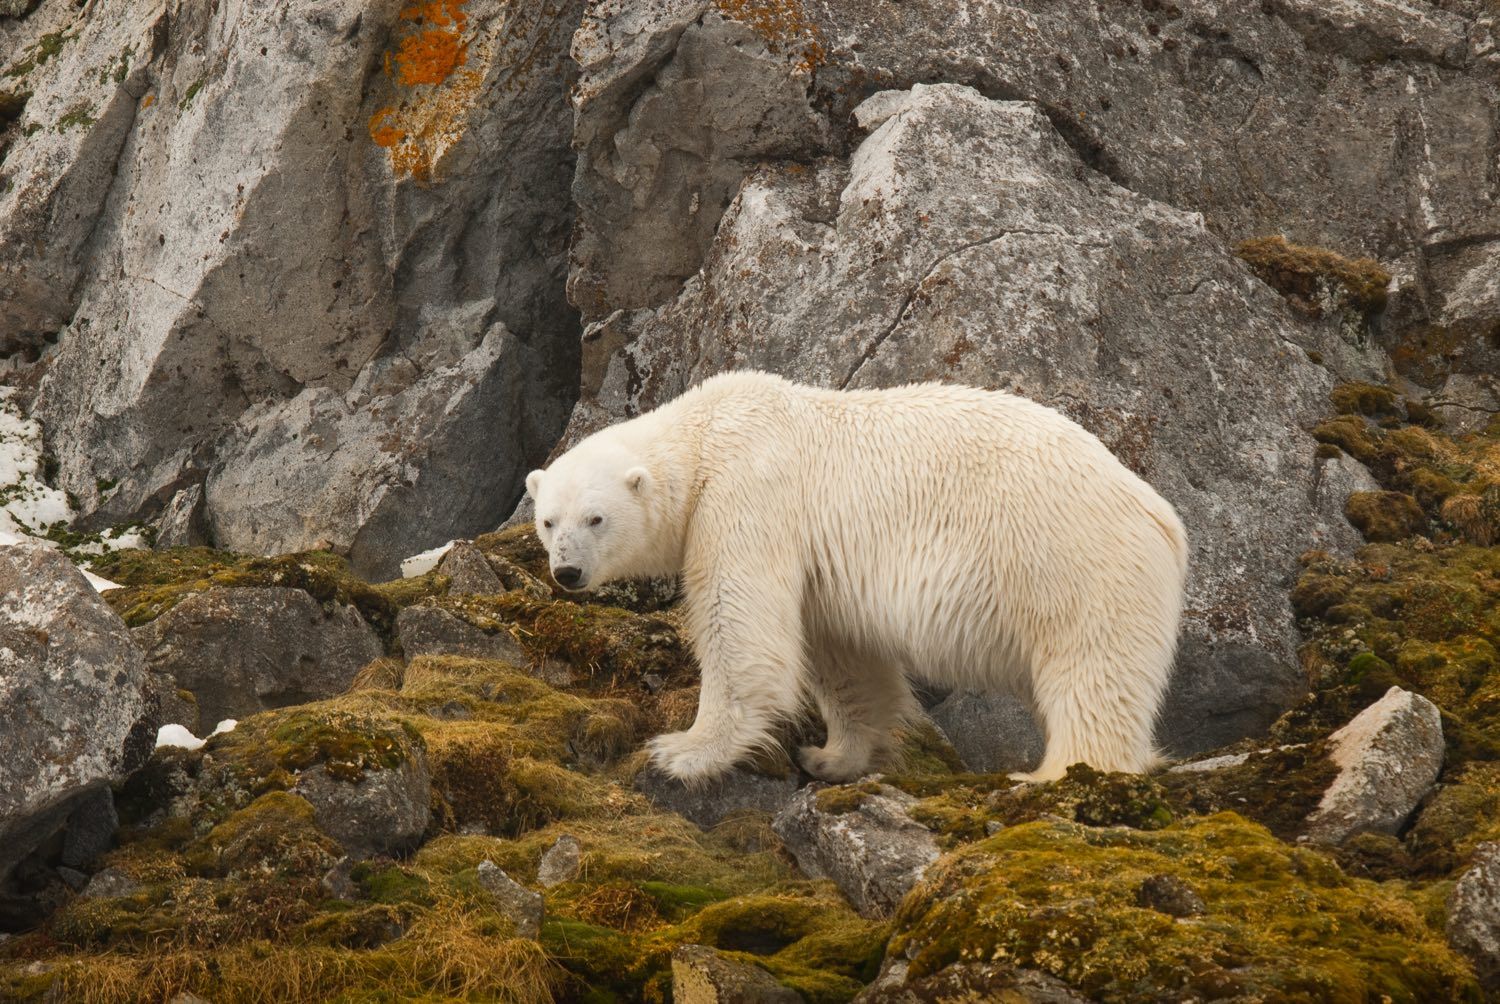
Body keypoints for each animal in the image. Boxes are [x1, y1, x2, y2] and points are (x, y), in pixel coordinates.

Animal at [522, 367, 1188, 780]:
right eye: (549, 521)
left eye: (597, 517)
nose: (568, 573)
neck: (705, 434)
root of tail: (1160, 515)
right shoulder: (819, 571)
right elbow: (843, 654)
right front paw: (831, 756)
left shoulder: (748, 494)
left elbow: (740, 626)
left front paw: (682, 751)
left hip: (1071, 559)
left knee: (1092, 668)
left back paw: (1054, 773)